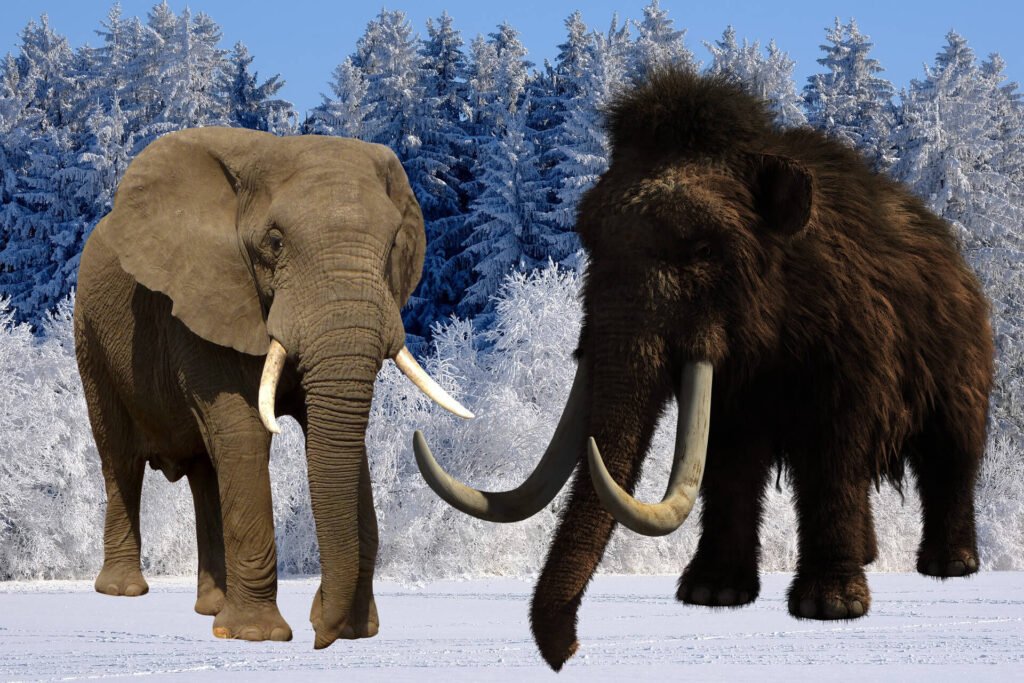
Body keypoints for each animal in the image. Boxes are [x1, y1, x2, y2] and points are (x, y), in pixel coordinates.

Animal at [73, 127, 472, 647]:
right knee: (119, 456)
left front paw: (355, 632)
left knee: (205, 472)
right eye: (275, 241)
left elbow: (334, 437)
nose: (320, 631)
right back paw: (124, 593)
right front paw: (256, 636)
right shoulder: (204, 298)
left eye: (391, 246)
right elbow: (244, 432)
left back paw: (212, 609)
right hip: (90, 336)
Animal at [414, 70, 994, 670]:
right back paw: (873, 555)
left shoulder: (852, 352)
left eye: (703, 248)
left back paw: (950, 566)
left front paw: (830, 606)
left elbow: (832, 456)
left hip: (963, 370)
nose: (566, 651)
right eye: (589, 239)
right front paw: (713, 593)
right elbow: (727, 460)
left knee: (950, 456)